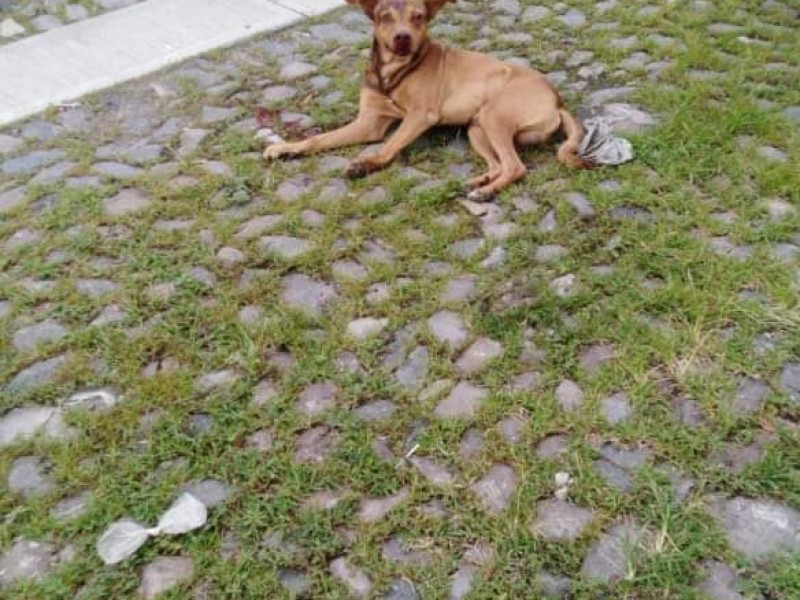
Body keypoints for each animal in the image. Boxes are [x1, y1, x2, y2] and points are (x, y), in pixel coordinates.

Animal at [262, 0, 588, 202]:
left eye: (418, 16)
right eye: (384, 17)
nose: (402, 38)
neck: (393, 74)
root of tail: (557, 102)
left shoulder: (419, 116)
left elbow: (389, 146)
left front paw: (366, 164)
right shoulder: (368, 123)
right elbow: (318, 139)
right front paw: (285, 148)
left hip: (495, 117)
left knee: (515, 167)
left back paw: (486, 192)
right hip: (478, 128)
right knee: (498, 165)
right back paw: (478, 183)